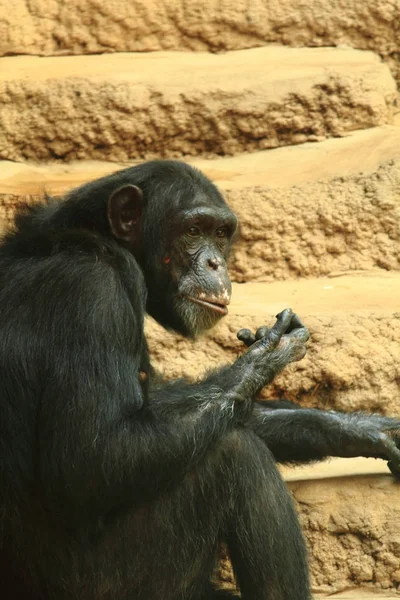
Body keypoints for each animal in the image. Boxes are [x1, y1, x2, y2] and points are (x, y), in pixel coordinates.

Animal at [0, 161, 398, 600]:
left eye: (221, 234)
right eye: (193, 231)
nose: (215, 264)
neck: (99, 240)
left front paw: (358, 427)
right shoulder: (93, 297)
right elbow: (94, 457)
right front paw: (266, 356)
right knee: (234, 453)